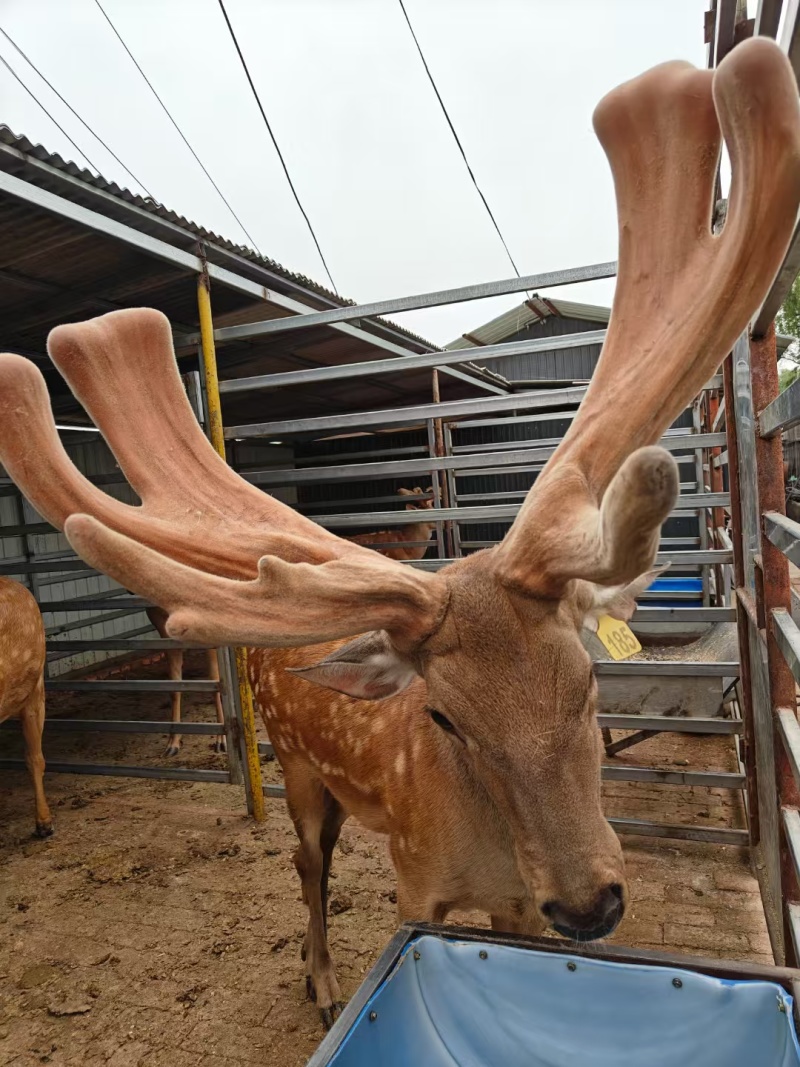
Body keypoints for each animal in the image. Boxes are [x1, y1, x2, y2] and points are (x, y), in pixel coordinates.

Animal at [0, 37, 797, 1029]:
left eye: (587, 682)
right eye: (443, 716)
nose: (592, 901)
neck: (492, 854)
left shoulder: (515, 903)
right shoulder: (416, 878)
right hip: (297, 766)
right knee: (307, 861)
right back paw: (319, 978)